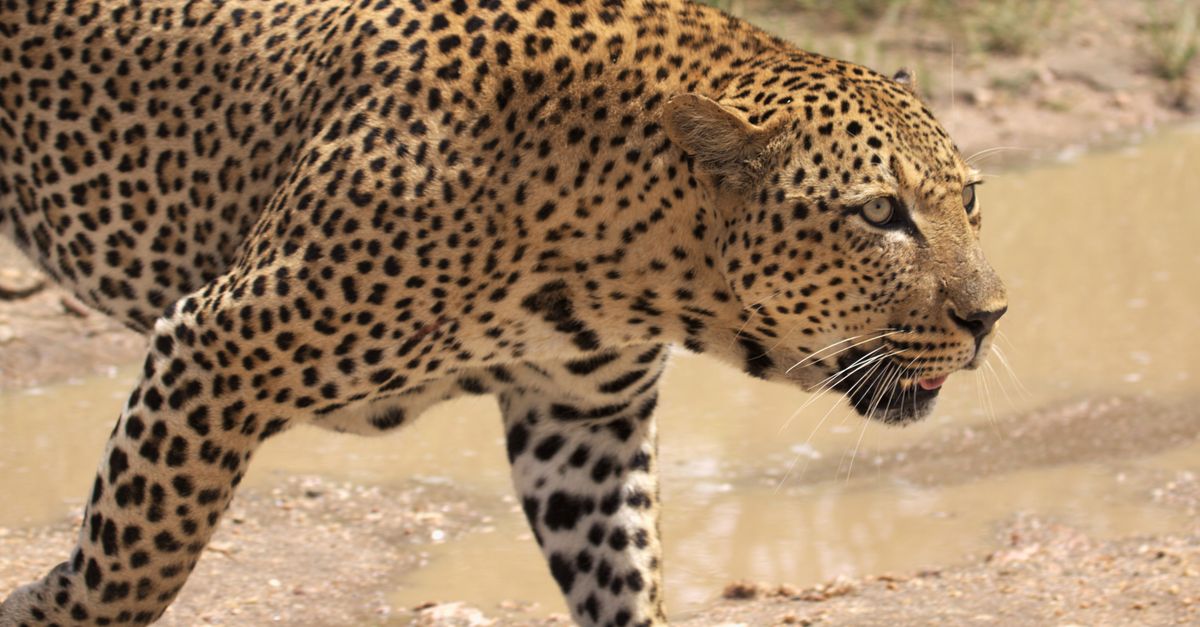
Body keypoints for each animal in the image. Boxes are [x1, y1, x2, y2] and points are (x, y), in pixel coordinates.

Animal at [0, 0, 1007, 624]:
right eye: (880, 213)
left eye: (970, 198)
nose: (992, 316)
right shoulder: (215, 346)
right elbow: (136, 559)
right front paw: (40, 607)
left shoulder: (583, 423)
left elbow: (625, 580)